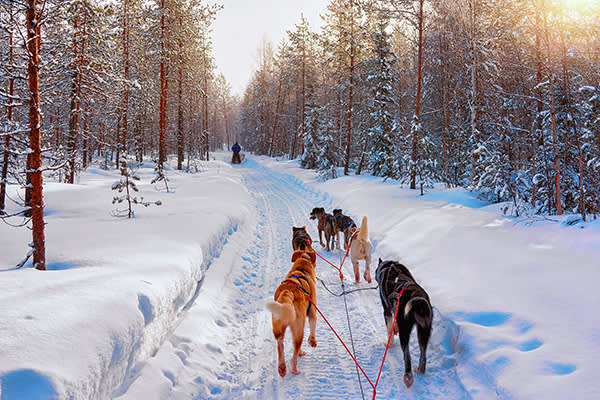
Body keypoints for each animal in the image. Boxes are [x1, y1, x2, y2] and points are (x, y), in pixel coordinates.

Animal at [264, 248, 316, 376]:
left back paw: (282, 367)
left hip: (278, 326)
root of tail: (288, 292)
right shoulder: (312, 311)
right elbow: (313, 326)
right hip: (299, 329)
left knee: (280, 344)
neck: (302, 268)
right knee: (295, 352)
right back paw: (294, 369)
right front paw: (312, 341)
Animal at [376, 260, 432, 388]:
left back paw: (408, 376)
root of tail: (418, 300)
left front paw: (390, 343)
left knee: (407, 356)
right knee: (423, 355)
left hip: (405, 332)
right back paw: (420, 370)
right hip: (424, 332)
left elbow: (389, 329)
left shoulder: (387, 311)